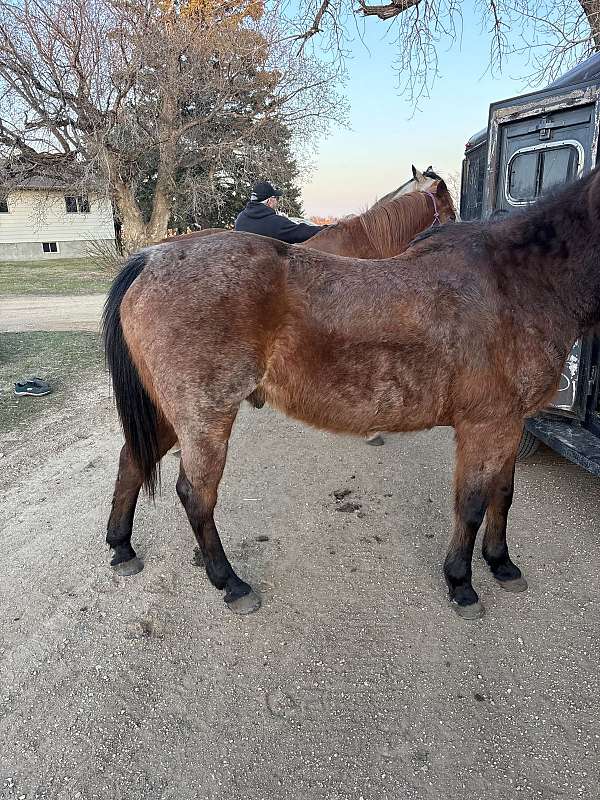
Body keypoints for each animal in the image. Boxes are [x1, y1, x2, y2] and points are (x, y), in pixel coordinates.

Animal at [103, 167, 600, 622]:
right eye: (443, 200)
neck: (513, 283)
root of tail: (152, 257)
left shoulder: (510, 424)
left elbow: (503, 493)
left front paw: (502, 564)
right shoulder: (486, 425)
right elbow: (473, 504)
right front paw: (461, 583)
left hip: (170, 414)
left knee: (132, 460)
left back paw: (122, 548)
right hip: (205, 418)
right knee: (196, 495)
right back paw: (231, 583)